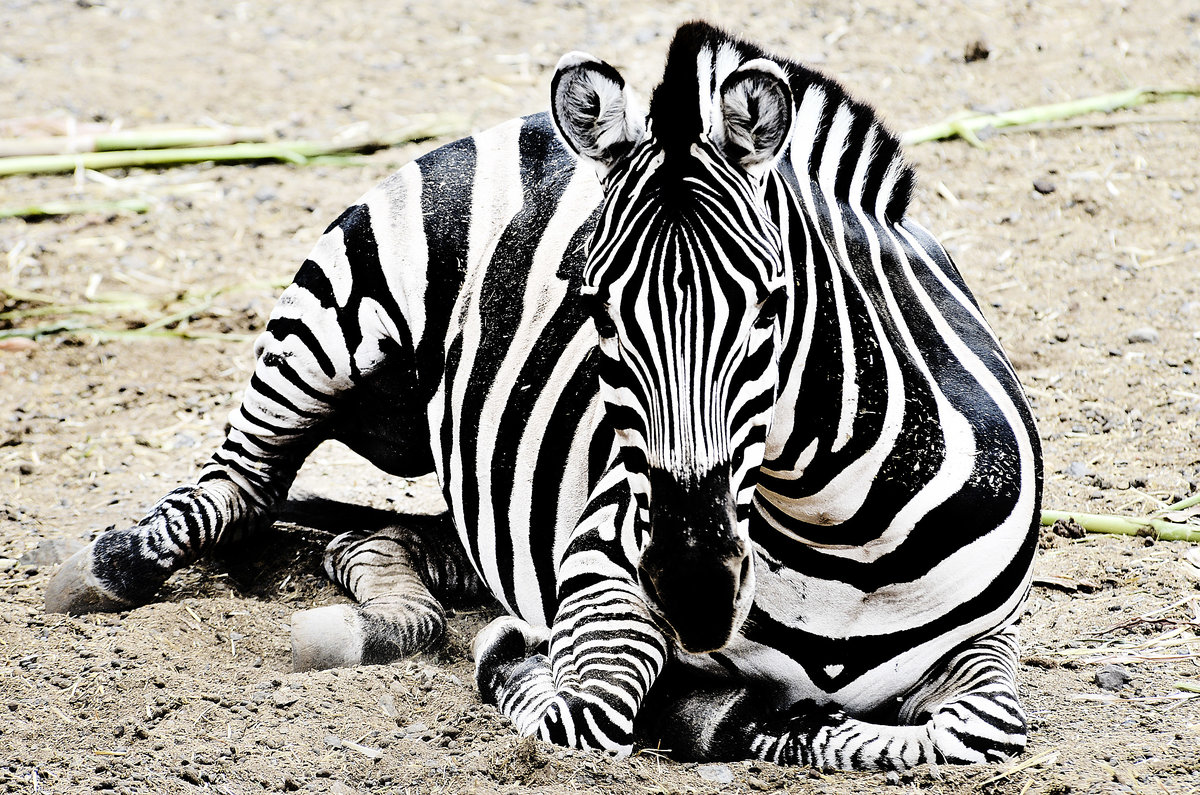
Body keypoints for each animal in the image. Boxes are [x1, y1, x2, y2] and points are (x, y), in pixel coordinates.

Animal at [46, 21, 1041, 773]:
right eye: (594, 306)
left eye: (767, 304)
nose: (690, 587)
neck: (839, 527)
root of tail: (527, 121)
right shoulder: (600, 557)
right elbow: (583, 710)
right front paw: (539, 664)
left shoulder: (986, 649)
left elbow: (972, 730)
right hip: (332, 313)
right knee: (239, 483)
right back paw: (112, 563)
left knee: (368, 538)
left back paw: (379, 606)